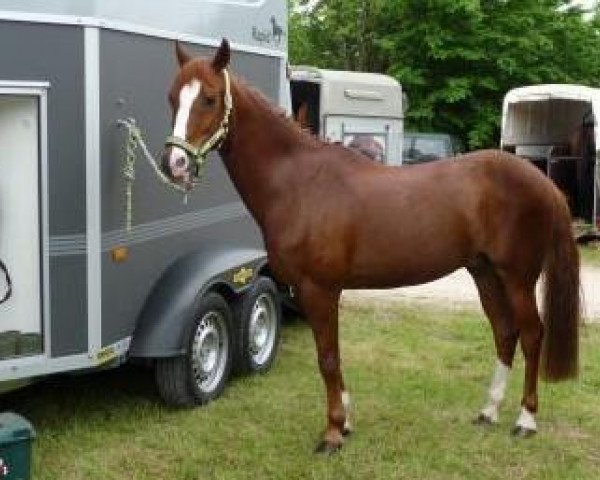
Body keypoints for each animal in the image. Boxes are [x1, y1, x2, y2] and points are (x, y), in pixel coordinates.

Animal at [162, 41, 580, 454]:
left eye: (210, 98)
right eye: (172, 98)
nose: (174, 163)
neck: (299, 182)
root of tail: (542, 181)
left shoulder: (319, 289)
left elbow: (328, 358)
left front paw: (333, 432)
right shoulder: (312, 291)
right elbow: (333, 357)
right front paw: (346, 423)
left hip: (518, 277)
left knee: (532, 334)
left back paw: (525, 420)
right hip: (485, 272)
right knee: (505, 332)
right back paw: (489, 411)